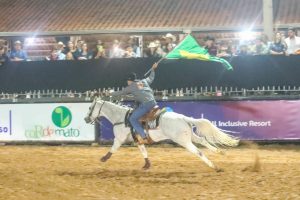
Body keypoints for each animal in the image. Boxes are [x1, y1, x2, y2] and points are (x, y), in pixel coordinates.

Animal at [84, 97, 239, 172]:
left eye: (90, 108)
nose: (86, 119)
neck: (122, 118)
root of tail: (183, 117)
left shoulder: (119, 139)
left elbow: (113, 149)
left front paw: (103, 158)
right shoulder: (138, 140)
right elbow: (144, 152)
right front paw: (147, 165)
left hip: (183, 141)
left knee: (198, 152)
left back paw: (215, 167)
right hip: (190, 136)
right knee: (203, 141)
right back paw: (220, 152)